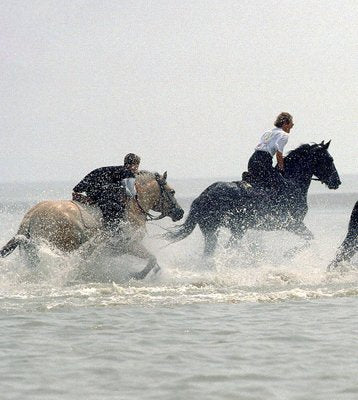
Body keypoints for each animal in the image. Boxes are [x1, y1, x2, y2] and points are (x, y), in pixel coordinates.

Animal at [0, 170, 185, 280]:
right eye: (172, 191)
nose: (180, 212)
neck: (133, 204)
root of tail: (32, 213)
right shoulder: (129, 245)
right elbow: (152, 259)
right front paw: (136, 275)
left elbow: (154, 262)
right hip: (63, 245)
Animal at [165, 142, 342, 258]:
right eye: (330, 160)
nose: (337, 182)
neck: (292, 182)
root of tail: (201, 197)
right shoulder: (292, 224)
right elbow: (310, 239)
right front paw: (288, 254)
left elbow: (310, 239)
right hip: (222, 230)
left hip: (226, 230)